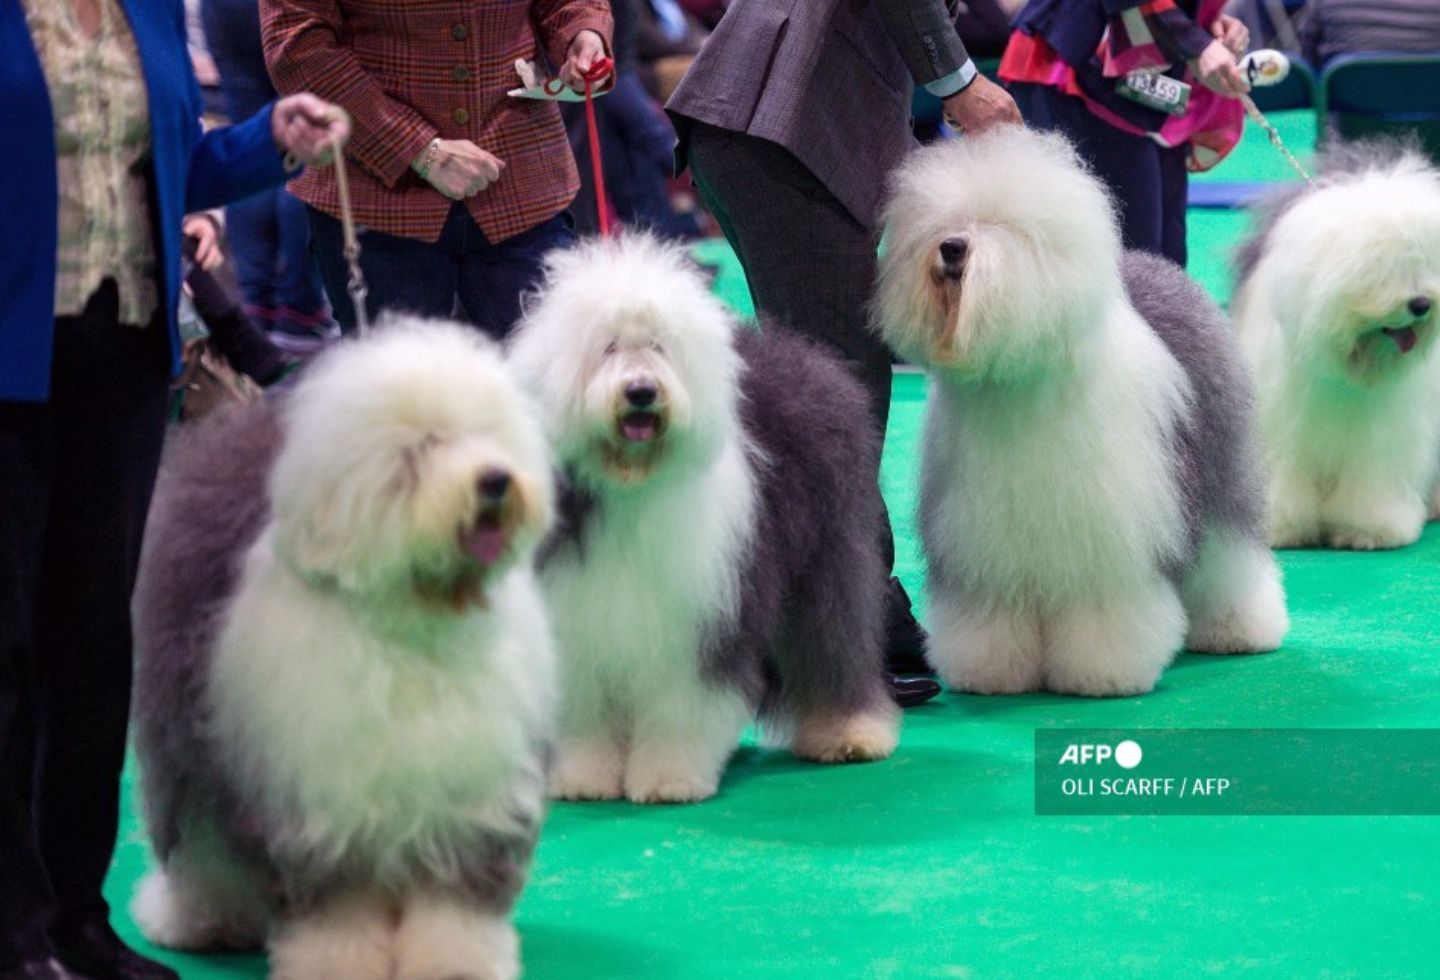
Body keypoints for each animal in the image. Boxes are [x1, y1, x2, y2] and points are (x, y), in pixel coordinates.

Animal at [131, 320, 555, 978]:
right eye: (424, 447)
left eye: (486, 436)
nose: (495, 480)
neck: (415, 622)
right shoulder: (320, 800)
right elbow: (341, 904)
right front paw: (338, 960)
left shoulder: (470, 791)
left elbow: (455, 902)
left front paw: (458, 961)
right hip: (190, 735)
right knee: (198, 843)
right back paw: (194, 920)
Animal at [509, 233, 898, 800]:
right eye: (608, 347)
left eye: (659, 347)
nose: (641, 392)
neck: (632, 487)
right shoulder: (578, 619)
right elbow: (585, 710)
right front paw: (583, 776)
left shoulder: (701, 618)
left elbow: (681, 705)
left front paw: (668, 777)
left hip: (826, 560)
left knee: (832, 640)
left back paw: (850, 732)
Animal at [869, 128, 1290, 696]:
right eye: (938, 222)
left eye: (1008, 228)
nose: (951, 247)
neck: (1022, 381)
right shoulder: (984, 540)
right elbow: (991, 611)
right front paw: (989, 670)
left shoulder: (1106, 538)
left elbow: (1103, 607)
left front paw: (1103, 671)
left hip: (1218, 472)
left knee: (1230, 555)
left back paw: (1238, 629)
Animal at [1226, 140, 1440, 546]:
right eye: (1381, 269)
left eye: (1427, 264)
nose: (1421, 304)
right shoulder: (1281, 422)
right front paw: (1279, 526)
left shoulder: (1382, 433)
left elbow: (1372, 478)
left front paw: (1368, 530)